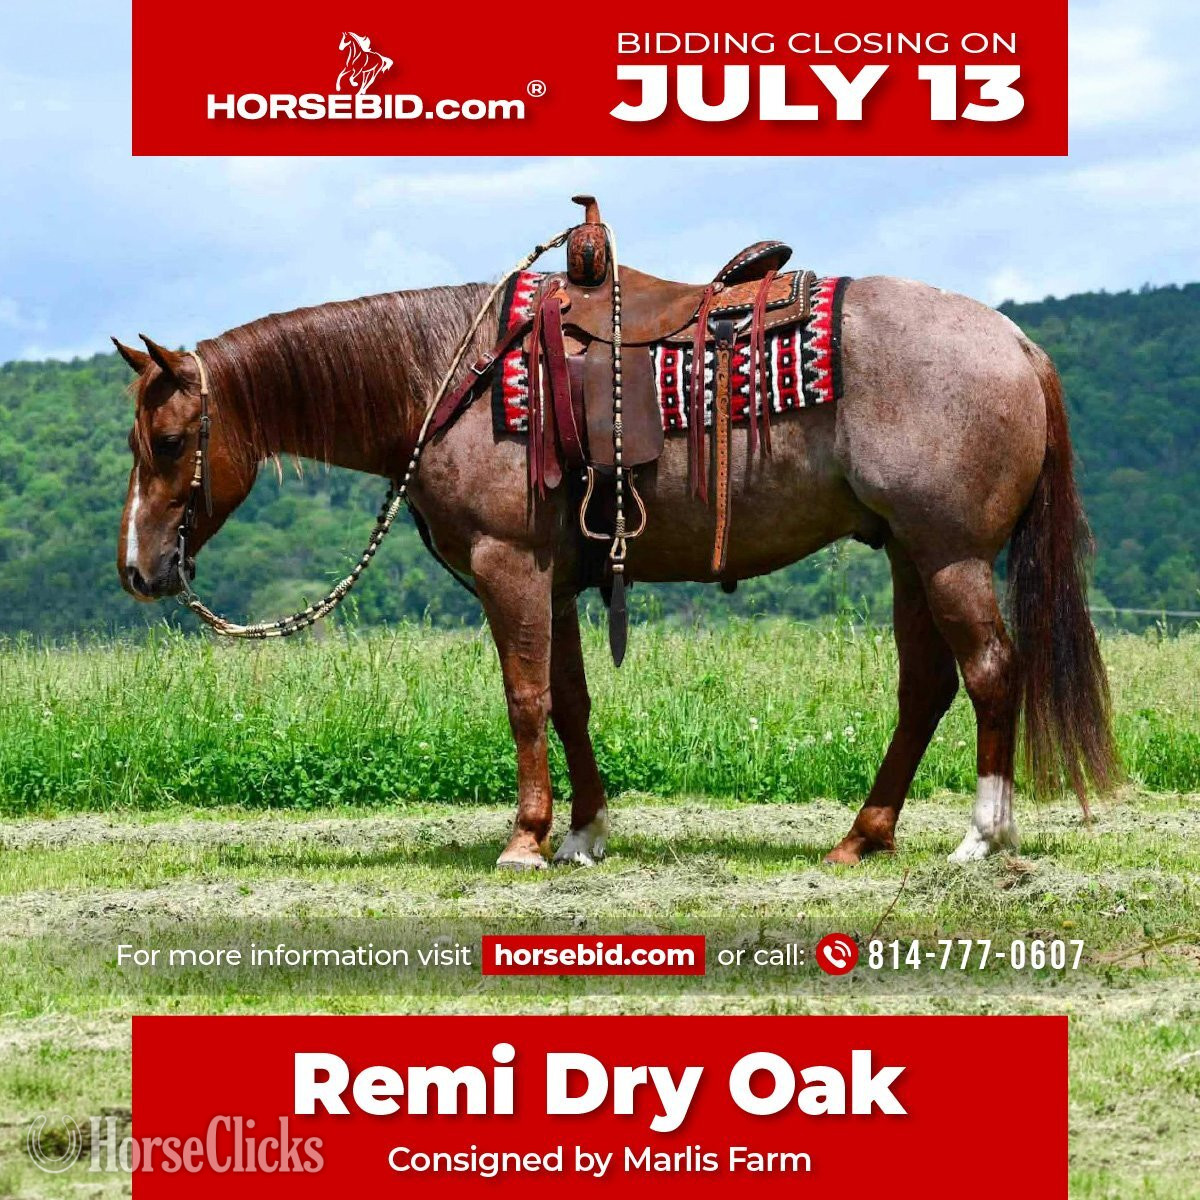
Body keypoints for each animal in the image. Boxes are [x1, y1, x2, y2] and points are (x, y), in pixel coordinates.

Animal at [112, 270, 1117, 870]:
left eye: (167, 441)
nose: (136, 570)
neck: (452, 379)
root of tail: (1015, 344)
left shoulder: (508, 568)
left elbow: (523, 700)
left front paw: (525, 839)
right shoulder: (553, 584)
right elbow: (568, 701)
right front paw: (585, 833)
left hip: (950, 556)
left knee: (992, 673)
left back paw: (984, 835)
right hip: (912, 555)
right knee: (926, 688)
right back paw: (862, 838)